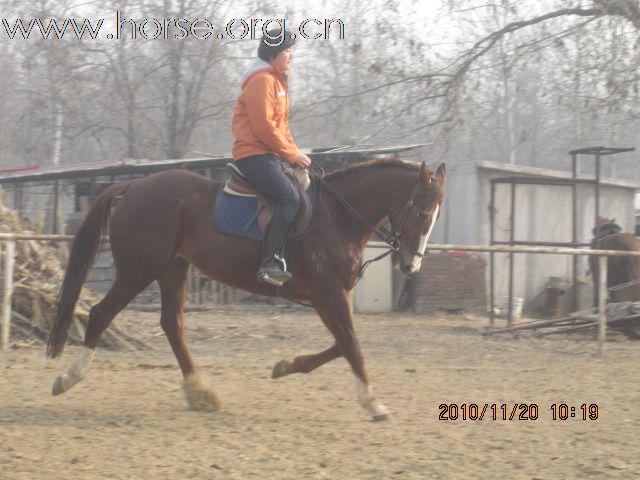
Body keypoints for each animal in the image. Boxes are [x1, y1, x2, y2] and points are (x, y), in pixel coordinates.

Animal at [46, 158, 444, 420]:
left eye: (435, 215)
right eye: (422, 214)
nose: (410, 266)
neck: (337, 218)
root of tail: (134, 185)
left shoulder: (330, 296)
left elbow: (341, 345)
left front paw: (285, 366)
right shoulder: (328, 294)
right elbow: (352, 346)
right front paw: (374, 403)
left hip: (172, 270)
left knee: (172, 324)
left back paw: (201, 392)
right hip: (138, 271)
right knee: (100, 314)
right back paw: (67, 379)